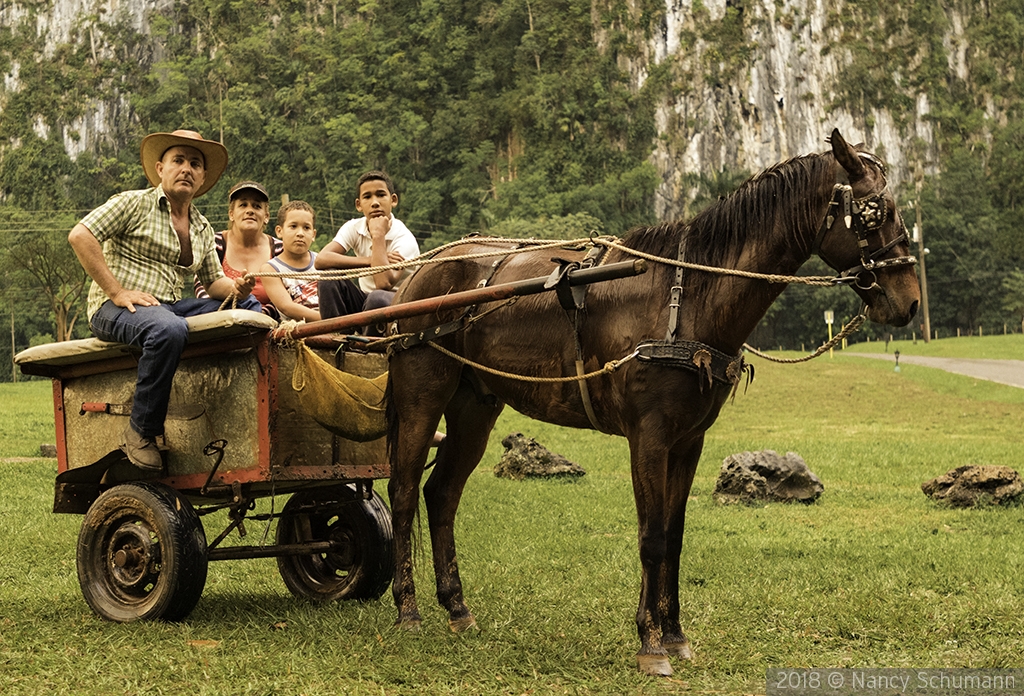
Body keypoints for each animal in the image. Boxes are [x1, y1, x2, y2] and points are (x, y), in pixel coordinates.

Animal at [382, 128, 921, 675]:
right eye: (875, 211)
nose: (910, 302)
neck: (689, 295)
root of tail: (417, 275)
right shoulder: (649, 435)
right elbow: (652, 537)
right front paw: (650, 643)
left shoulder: (688, 441)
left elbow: (674, 536)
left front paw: (675, 634)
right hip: (421, 394)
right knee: (403, 491)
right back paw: (407, 610)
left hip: (475, 405)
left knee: (441, 494)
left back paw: (456, 607)